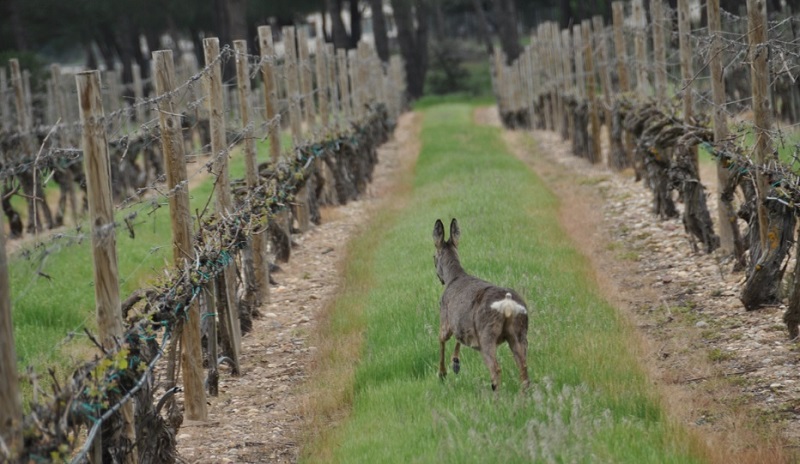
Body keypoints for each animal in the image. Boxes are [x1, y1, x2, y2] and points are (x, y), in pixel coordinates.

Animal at [432, 219, 532, 390]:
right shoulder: (461, 324)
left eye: (434, 257)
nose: (440, 279)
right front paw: (455, 362)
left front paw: (443, 373)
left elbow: (442, 339)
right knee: (523, 368)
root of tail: (507, 305)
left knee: (496, 369)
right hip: (519, 332)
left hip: (487, 334)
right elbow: (460, 338)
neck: (454, 277)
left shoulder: (446, 318)